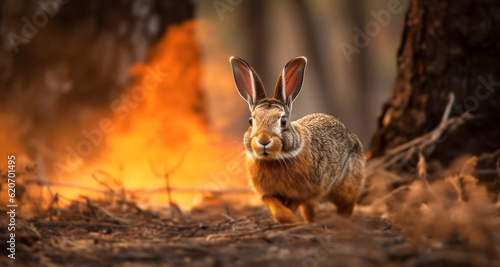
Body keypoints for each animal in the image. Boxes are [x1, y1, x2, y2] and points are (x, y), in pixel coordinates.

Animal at [229, 56, 364, 224]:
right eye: (250, 121)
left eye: (283, 121)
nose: (264, 140)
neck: (275, 159)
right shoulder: (268, 193)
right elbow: (276, 208)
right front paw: (288, 219)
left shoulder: (308, 189)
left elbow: (294, 203)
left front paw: (292, 220)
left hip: (346, 185)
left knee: (347, 205)